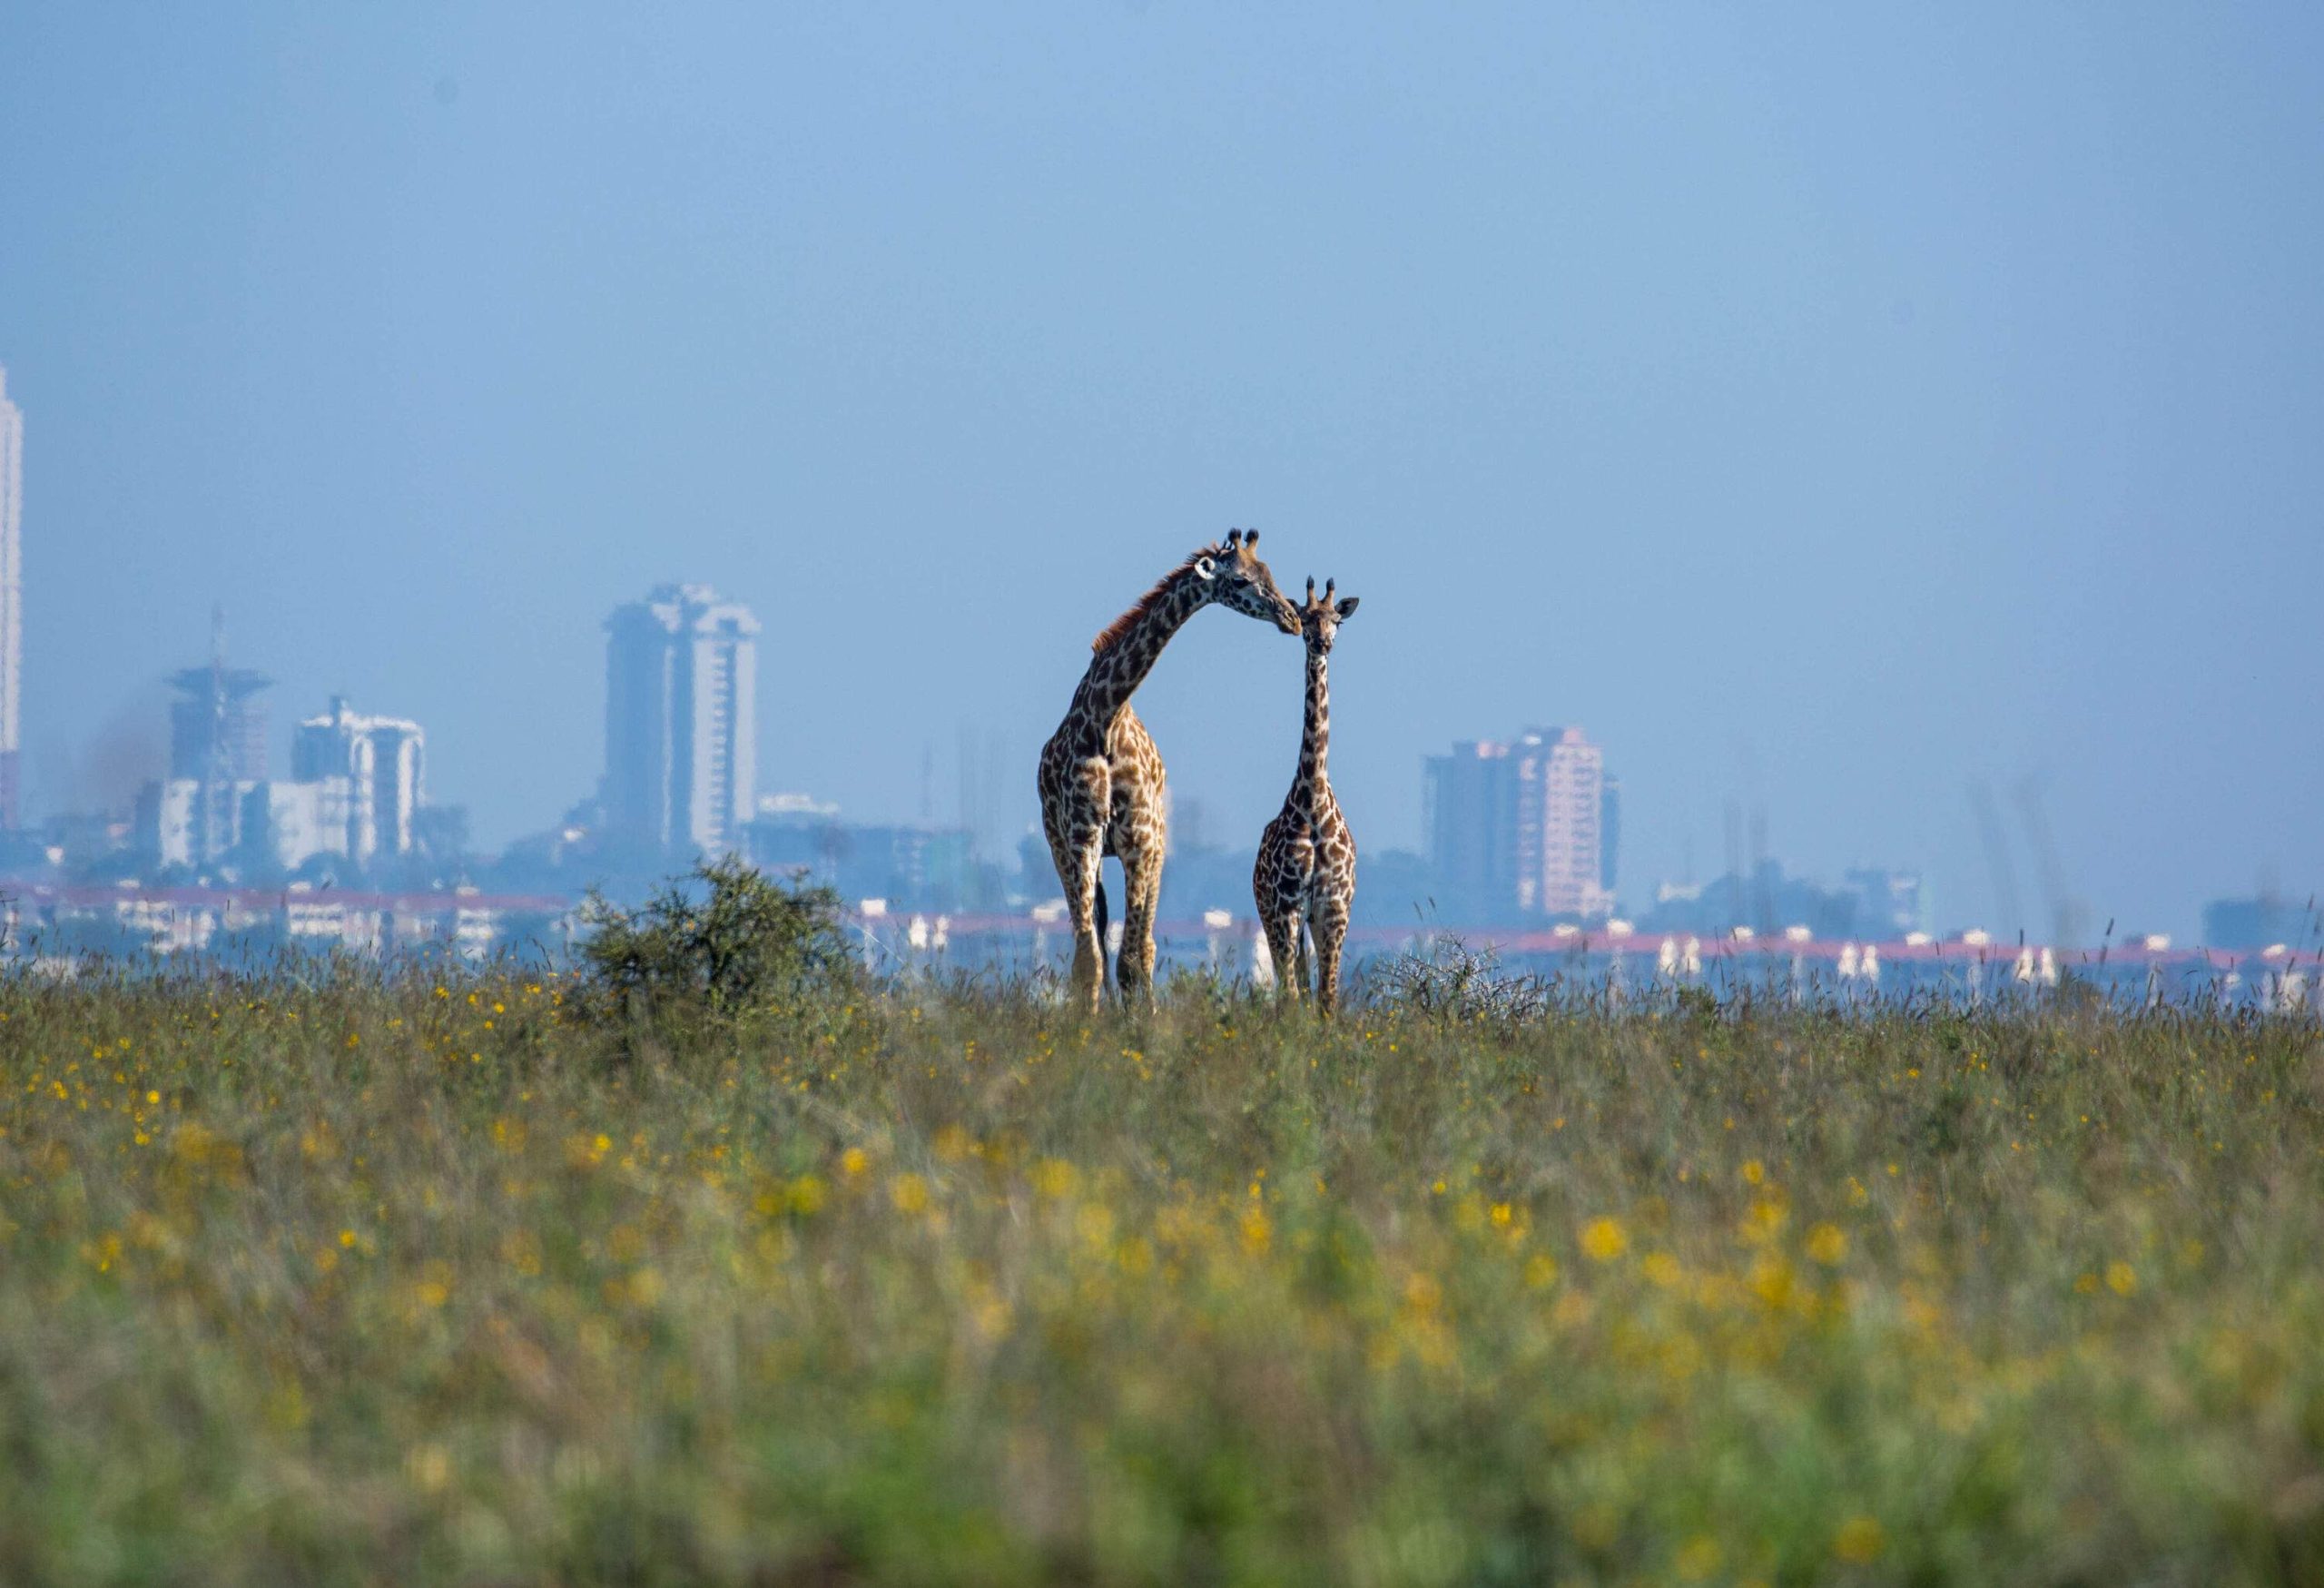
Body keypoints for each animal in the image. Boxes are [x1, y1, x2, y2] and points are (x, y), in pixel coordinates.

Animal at [1040, 529, 1301, 1004]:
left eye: (1269, 573)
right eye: (1239, 581)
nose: (1291, 619)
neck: (1104, 717)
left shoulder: (1139, 839)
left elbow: (1132, 958)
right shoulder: (1081, 838)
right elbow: (1089, 959)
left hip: (1155, 846)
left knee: (1142, 946)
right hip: (1062, 847)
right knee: (1101, 936)